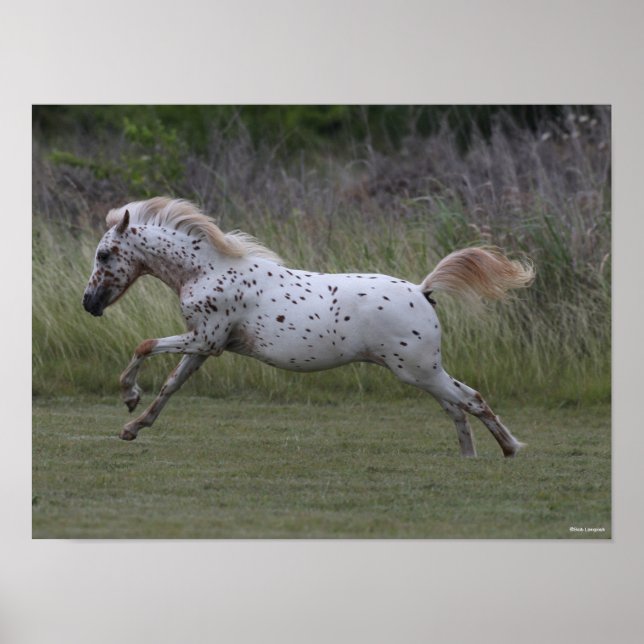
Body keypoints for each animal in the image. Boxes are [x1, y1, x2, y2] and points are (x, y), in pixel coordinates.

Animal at [82, 197, 534, 457]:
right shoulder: (204, 346)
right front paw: (132, 428)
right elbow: (169, 387)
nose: (89, 304)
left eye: (104, 255)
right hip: (424, 372)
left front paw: (128, 397)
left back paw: (510, 448)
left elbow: (144, 345)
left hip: (418, 370)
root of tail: (423, 291)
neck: (207, 270)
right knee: (457, 405)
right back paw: (472, 457)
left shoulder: (205, 339)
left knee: (470, 399)